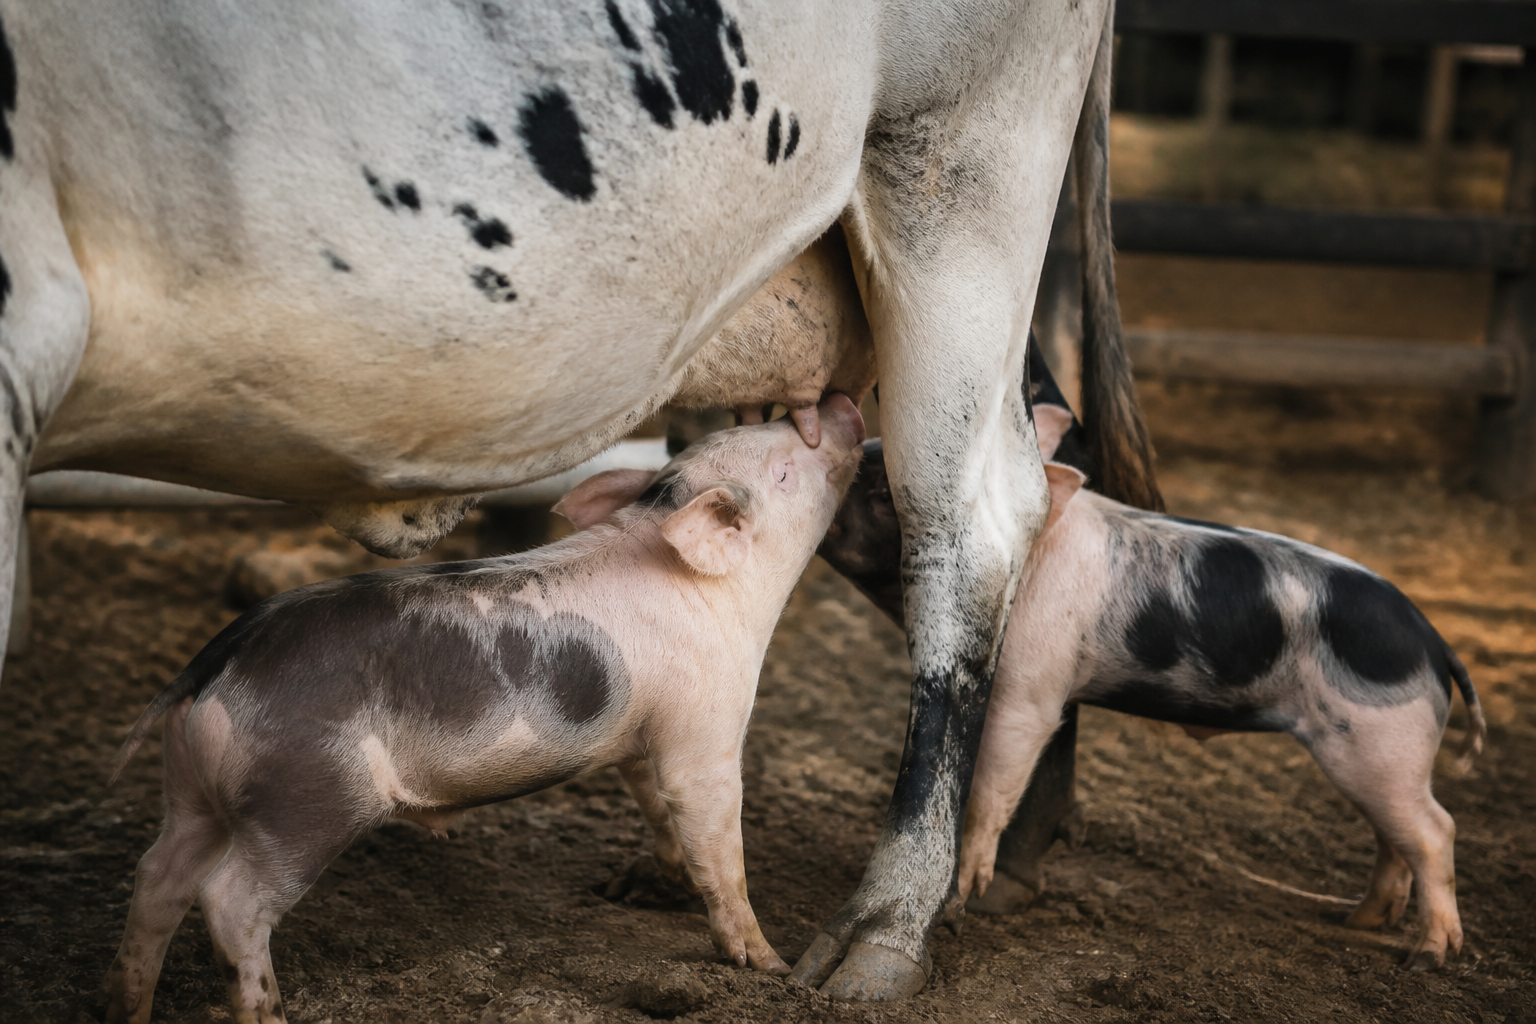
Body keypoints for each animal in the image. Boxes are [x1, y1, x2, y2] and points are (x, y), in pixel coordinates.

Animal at [0, 0, 1157, 998]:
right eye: (780, 471)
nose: (824, 412)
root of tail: (205, 674)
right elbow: (698, 824)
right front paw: (721, 929)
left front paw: (760, 959)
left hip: (968, 162)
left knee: (979, 517)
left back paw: (875, 953)